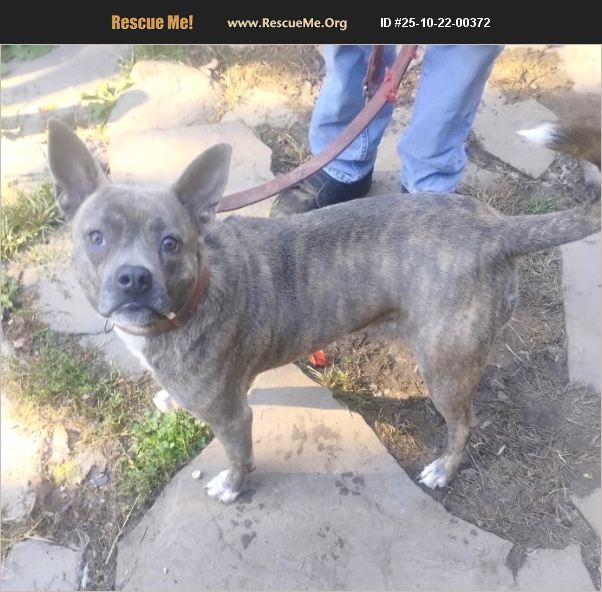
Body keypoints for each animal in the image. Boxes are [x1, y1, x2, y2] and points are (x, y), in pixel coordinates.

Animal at [47, 119, 600, 503]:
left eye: (170, 243)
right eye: (96, 236)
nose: (134, 278)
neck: (196, 292)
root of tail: (497, 227)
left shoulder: (233, 416)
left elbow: (239, 457)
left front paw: (232, 486)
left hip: (444, 368)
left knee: (464, 423)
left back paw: (444, 468)